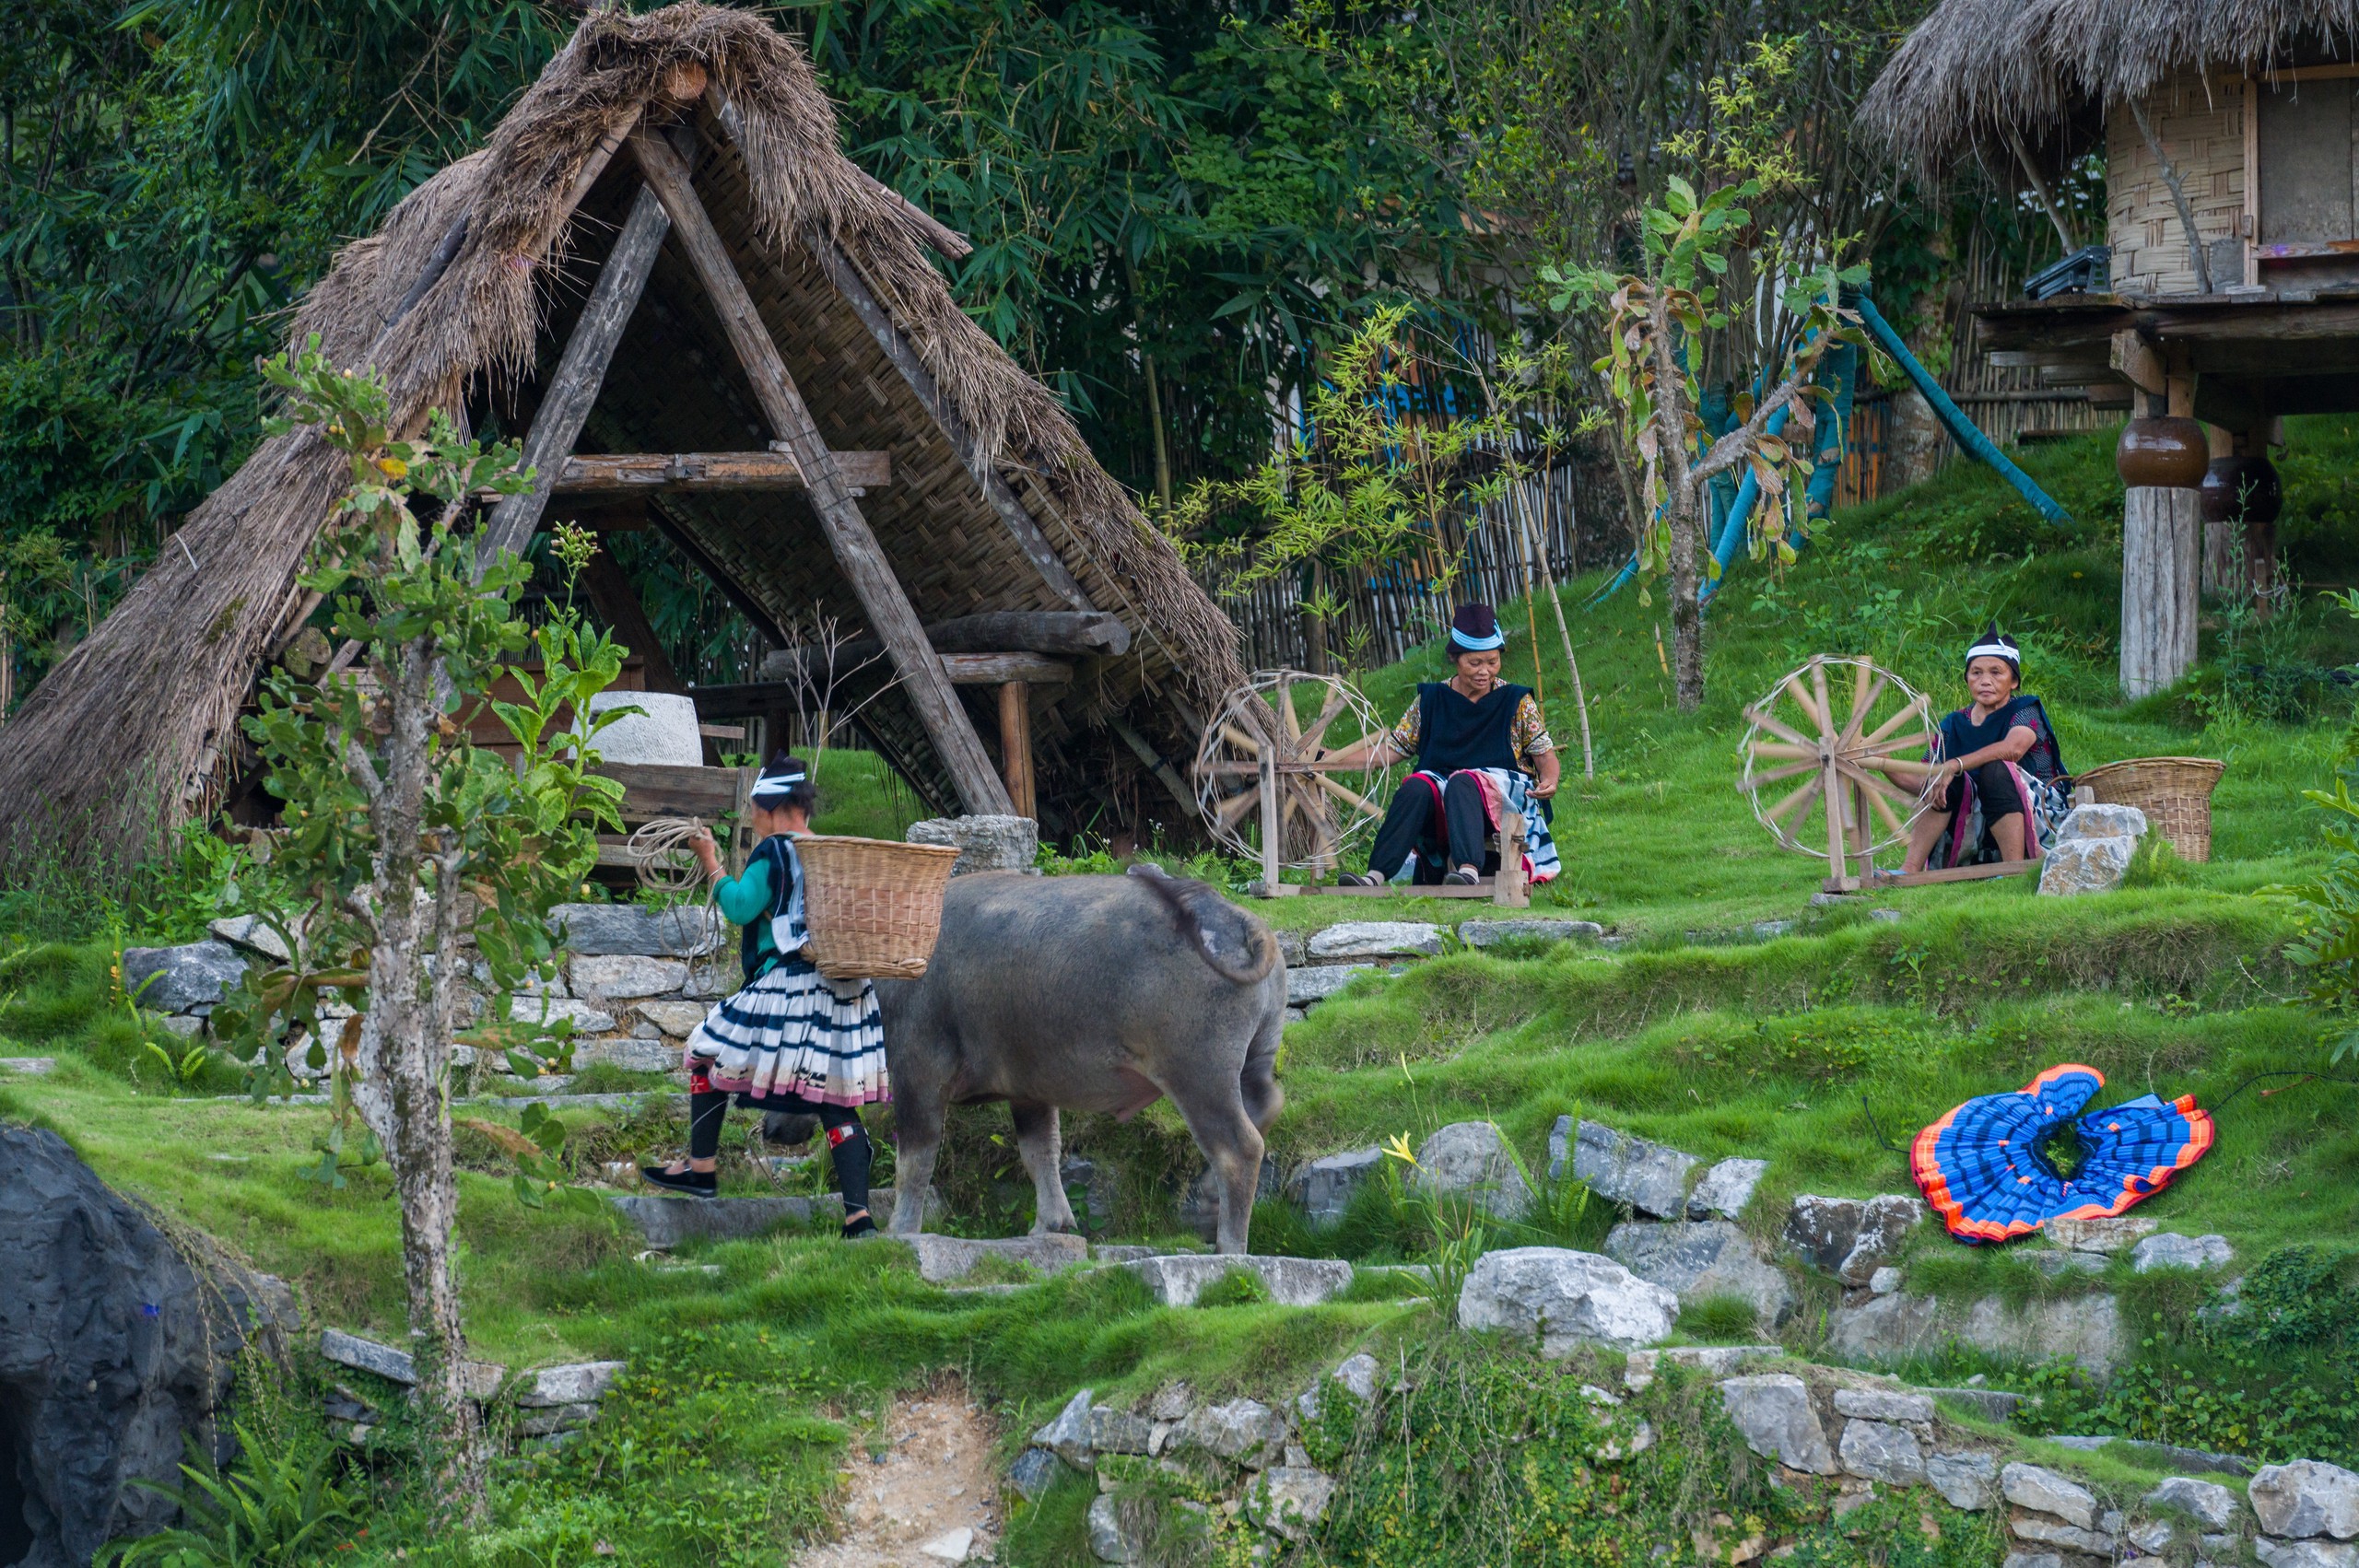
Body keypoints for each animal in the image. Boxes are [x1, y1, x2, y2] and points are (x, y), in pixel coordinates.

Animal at [873, 867, 1283, 1245]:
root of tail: (1226, 915)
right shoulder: (1028, 1090)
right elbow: (1039, 1152)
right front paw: (1051, 1224)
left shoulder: (917, 1071)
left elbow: (915, 1157)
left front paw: (899, 1230)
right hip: (1255, 1057)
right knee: (1267, 1103)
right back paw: (1212, 1201)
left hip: (1197, 1073)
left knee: (1239, 1149)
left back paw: (1228, 1244)